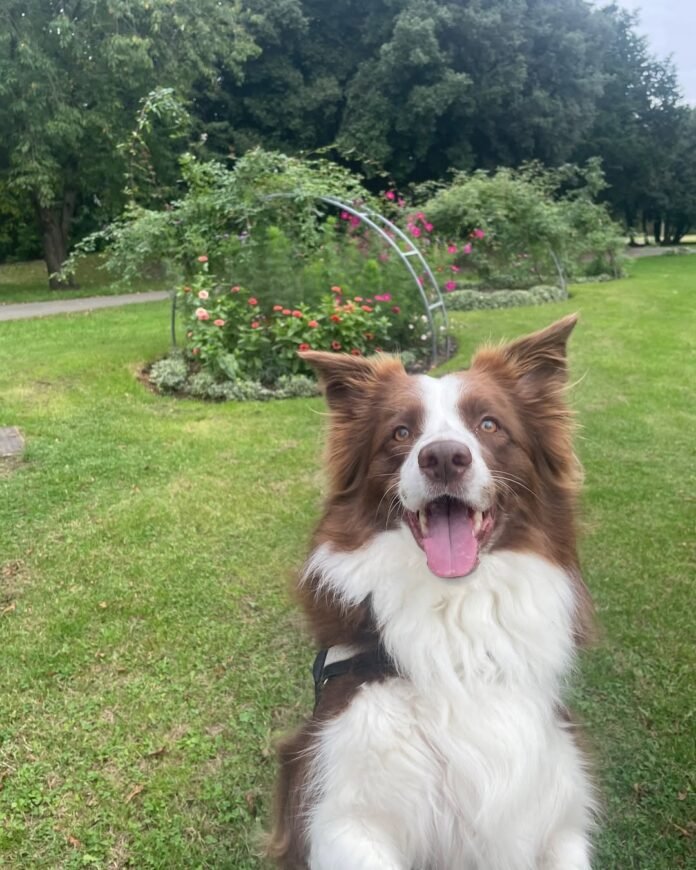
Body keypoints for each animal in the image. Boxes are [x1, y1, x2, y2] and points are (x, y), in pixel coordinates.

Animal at [270, 316, 596, 870]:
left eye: (489, 424)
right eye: (400, 433)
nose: (444, 457)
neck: (457, 618)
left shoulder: (555, 800)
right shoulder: (342, 809)